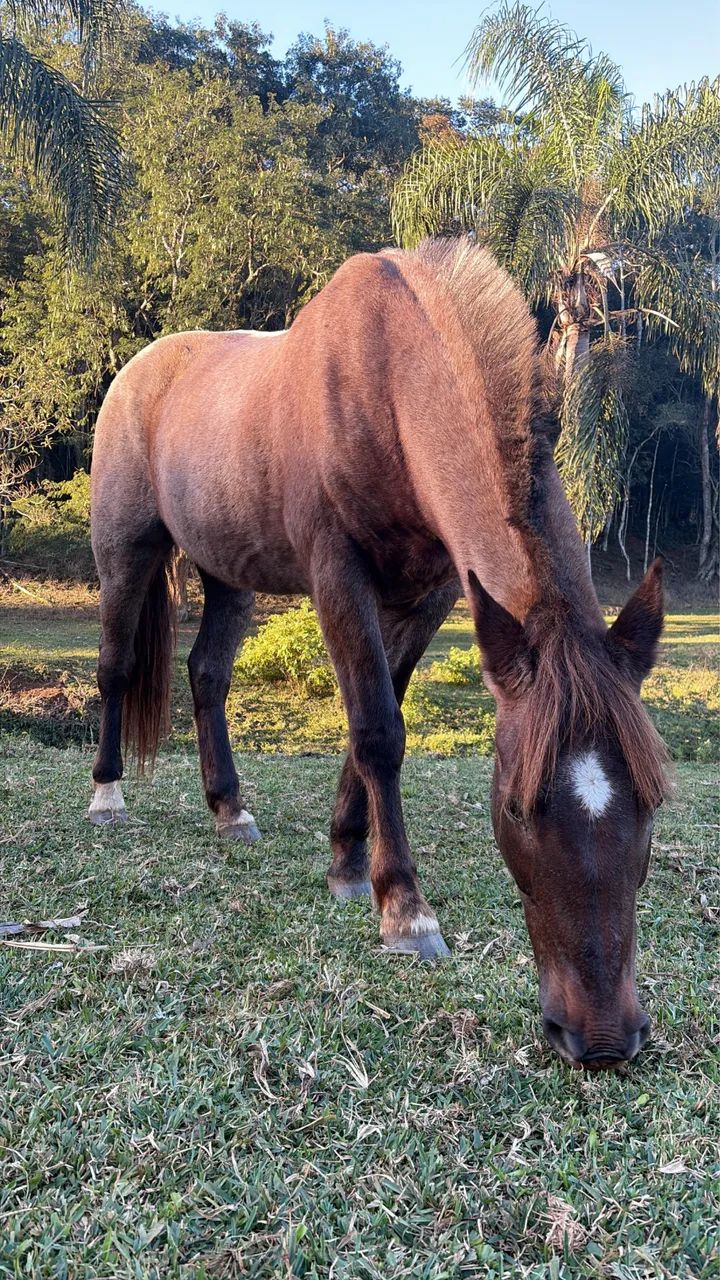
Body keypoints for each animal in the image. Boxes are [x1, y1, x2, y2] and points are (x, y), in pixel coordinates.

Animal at [89, 237, 670, 1068]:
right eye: (516, 806)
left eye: (652, 800)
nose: (601, 1039)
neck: (390, 384)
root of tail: (142, 367)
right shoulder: (339, 573)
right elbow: (376, 732)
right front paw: (405, 912)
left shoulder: (430, 595)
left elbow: (379, 718)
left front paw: (346, 861)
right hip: (126, 551)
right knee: (114, 669)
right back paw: (106, 797)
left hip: (228, 571)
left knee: (207, 676)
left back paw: (230, 809)